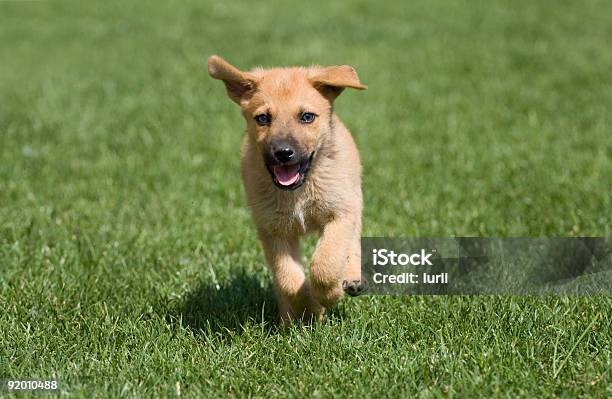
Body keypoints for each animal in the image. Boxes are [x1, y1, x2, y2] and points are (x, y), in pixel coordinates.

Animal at [208, 55, 366, 324]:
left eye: (307, 117)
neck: (298, 192)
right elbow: (289, 281)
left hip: (352, 199)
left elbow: (325, 263)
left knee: (352, 241)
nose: (283, 153)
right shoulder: (273, 230)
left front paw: (330, 295)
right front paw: (310, 307)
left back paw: (353, 278)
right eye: (263, 118)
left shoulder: (339, 215)